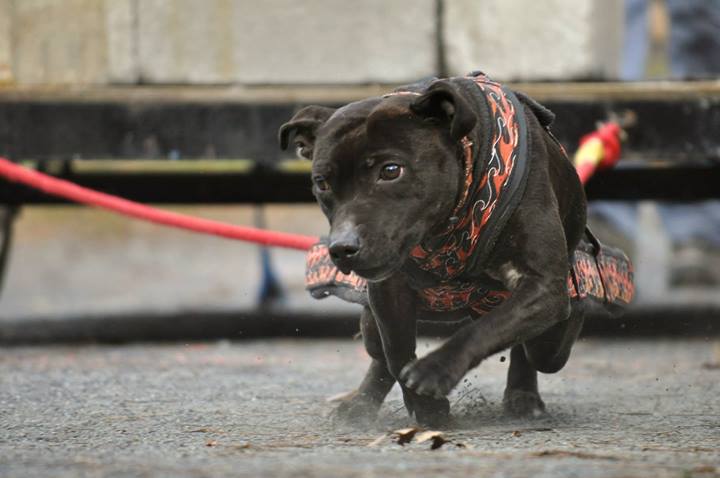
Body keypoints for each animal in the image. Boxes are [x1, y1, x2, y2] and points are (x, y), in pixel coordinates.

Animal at [278, 72, 628, 426]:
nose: (342, 247)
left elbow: (489, 328)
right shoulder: (388, 291)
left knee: (536, 351)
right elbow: (396, 351)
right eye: (321, 182)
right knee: (379, 352)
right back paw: (361, 403)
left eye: (391, 170)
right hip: (370, 321)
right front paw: (425, 405)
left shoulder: (544, 287)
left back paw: (523, 394)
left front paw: (434, 371)